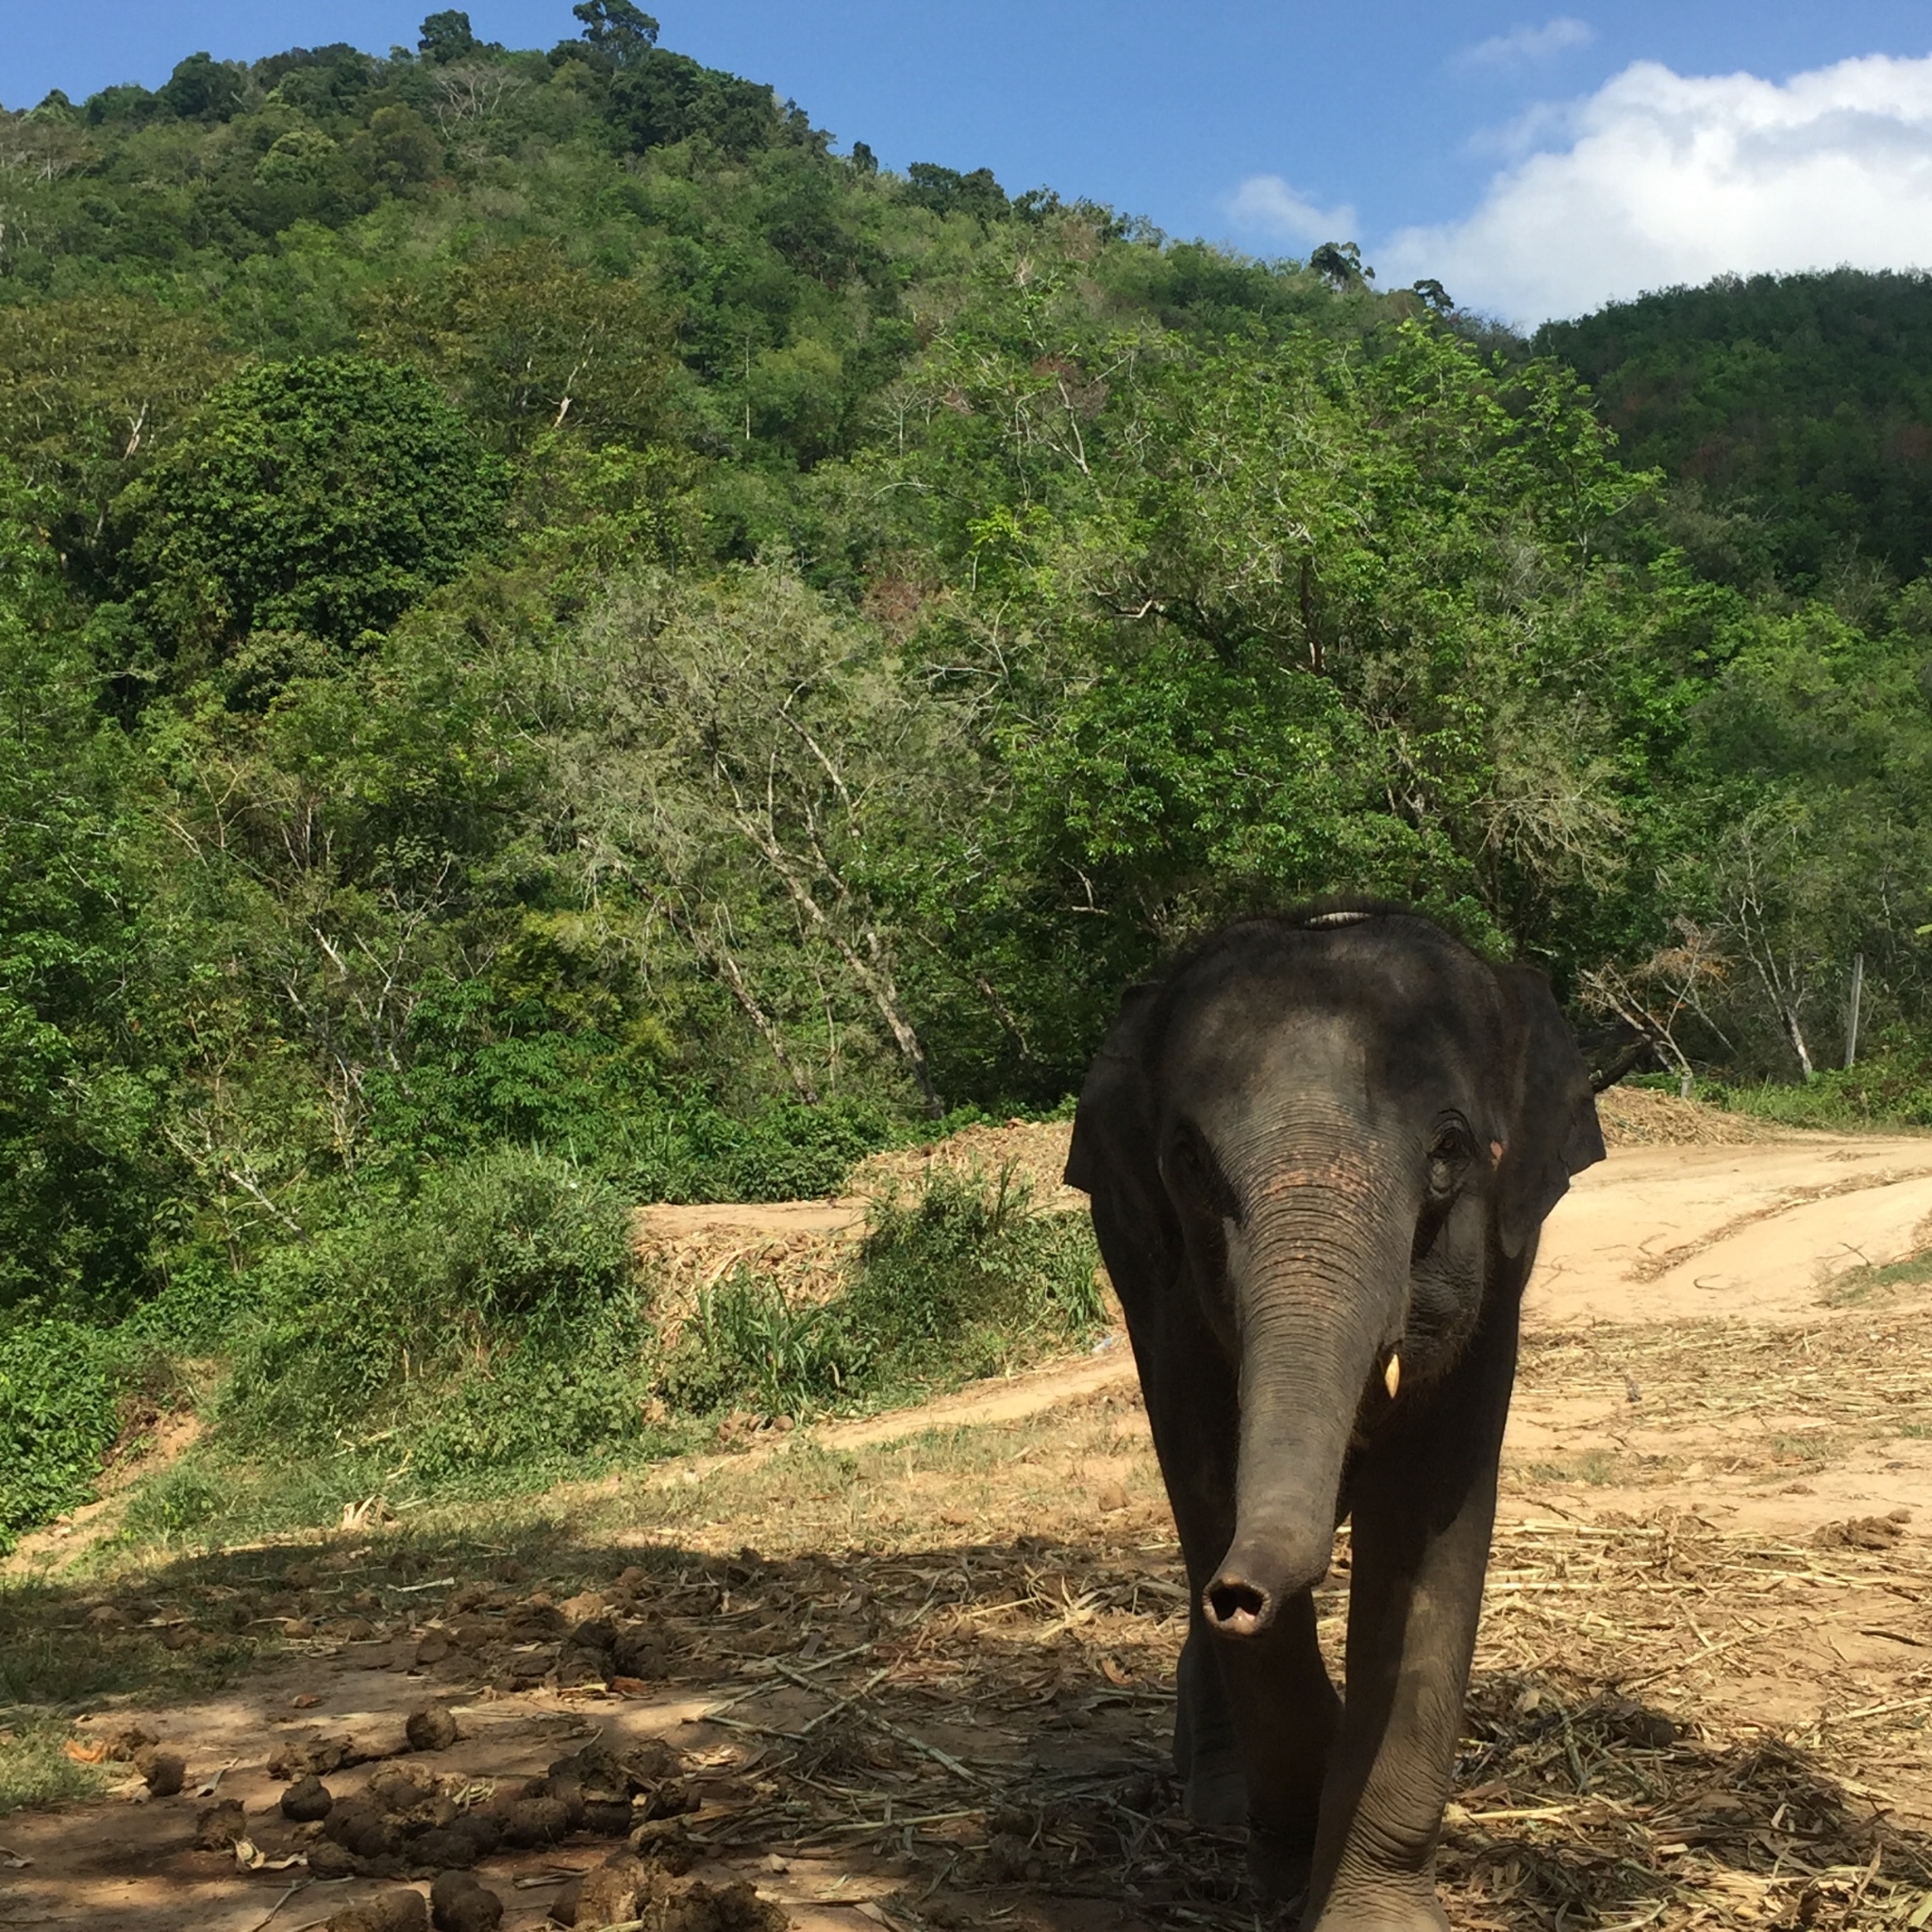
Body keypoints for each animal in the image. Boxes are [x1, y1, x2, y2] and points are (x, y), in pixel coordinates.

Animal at [1058, 904, 1599, 1932]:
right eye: (1188, 1160)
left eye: (1448, 1152)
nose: (1237, 1595)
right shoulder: (1158, 1280)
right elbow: (1202, 1473)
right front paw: (1288, 1861)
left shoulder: (1500, 1278)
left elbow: (1430, 1529)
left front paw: (1369, 1909)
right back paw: (1220, 1796)